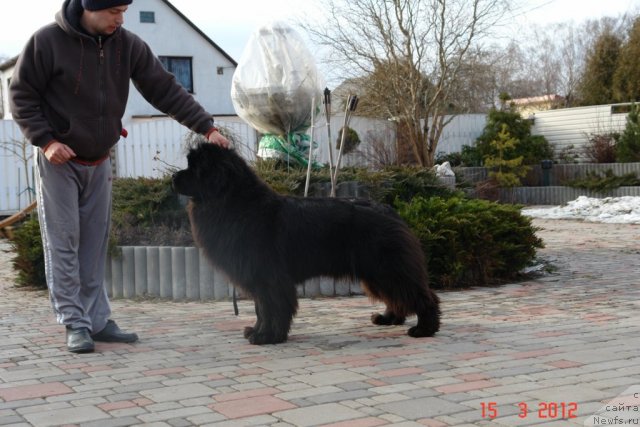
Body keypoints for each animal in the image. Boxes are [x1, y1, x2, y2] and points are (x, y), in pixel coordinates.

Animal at [171, 144, 440, 344]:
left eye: (195, 167)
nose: (173, 177)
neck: (234, 203)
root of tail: (389, 210)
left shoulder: (269, 277)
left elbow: (270, 307)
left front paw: (267, 336)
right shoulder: (259, 278)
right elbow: (261, 308)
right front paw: (257, 331)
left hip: (386, 266)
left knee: (420, 294)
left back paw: (424, 329)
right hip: (376, 272)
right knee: (397, 295)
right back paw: (388, 318)